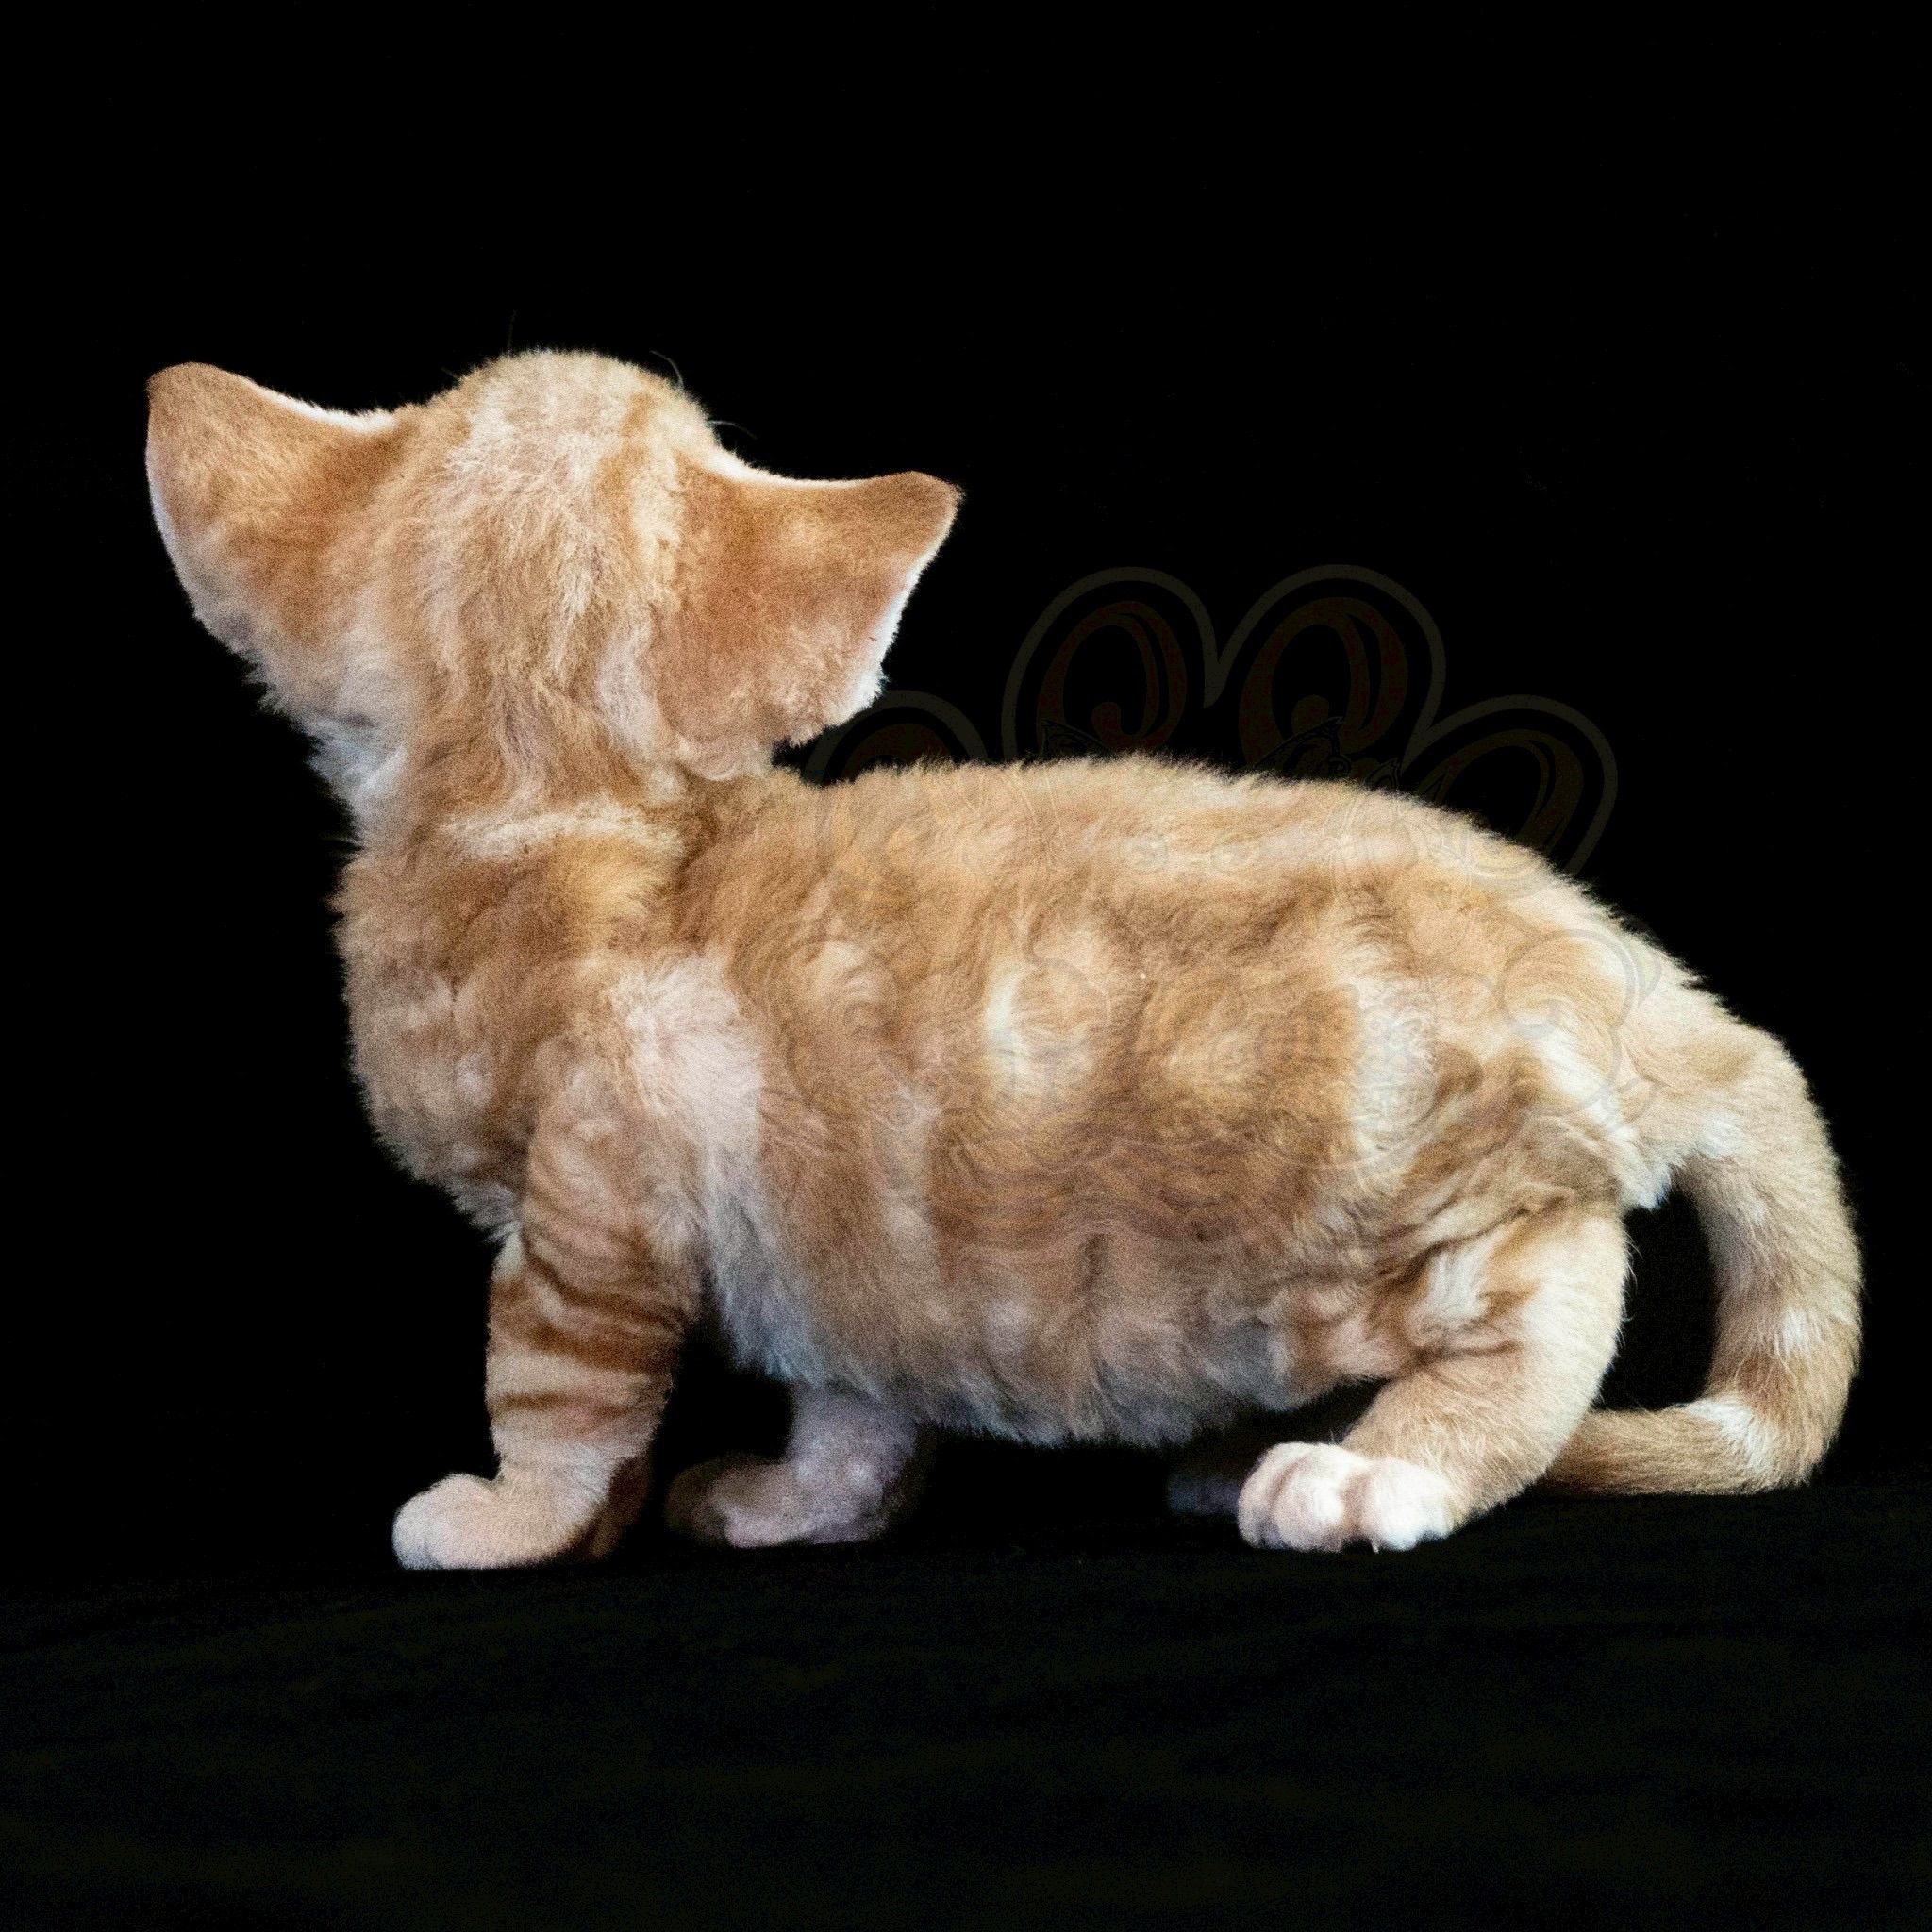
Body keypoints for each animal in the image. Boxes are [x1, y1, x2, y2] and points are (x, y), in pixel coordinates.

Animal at [146, 350, 1861, 1566]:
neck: (551, 824)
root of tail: (1630, 975)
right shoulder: (836, 1236)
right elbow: (849, 1411)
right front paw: (791, 1504)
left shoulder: (584, 1219)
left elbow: (552, 1399)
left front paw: (506, 1523)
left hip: (1375, 1212)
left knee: (1552, 1303)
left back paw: (1366, 1470)